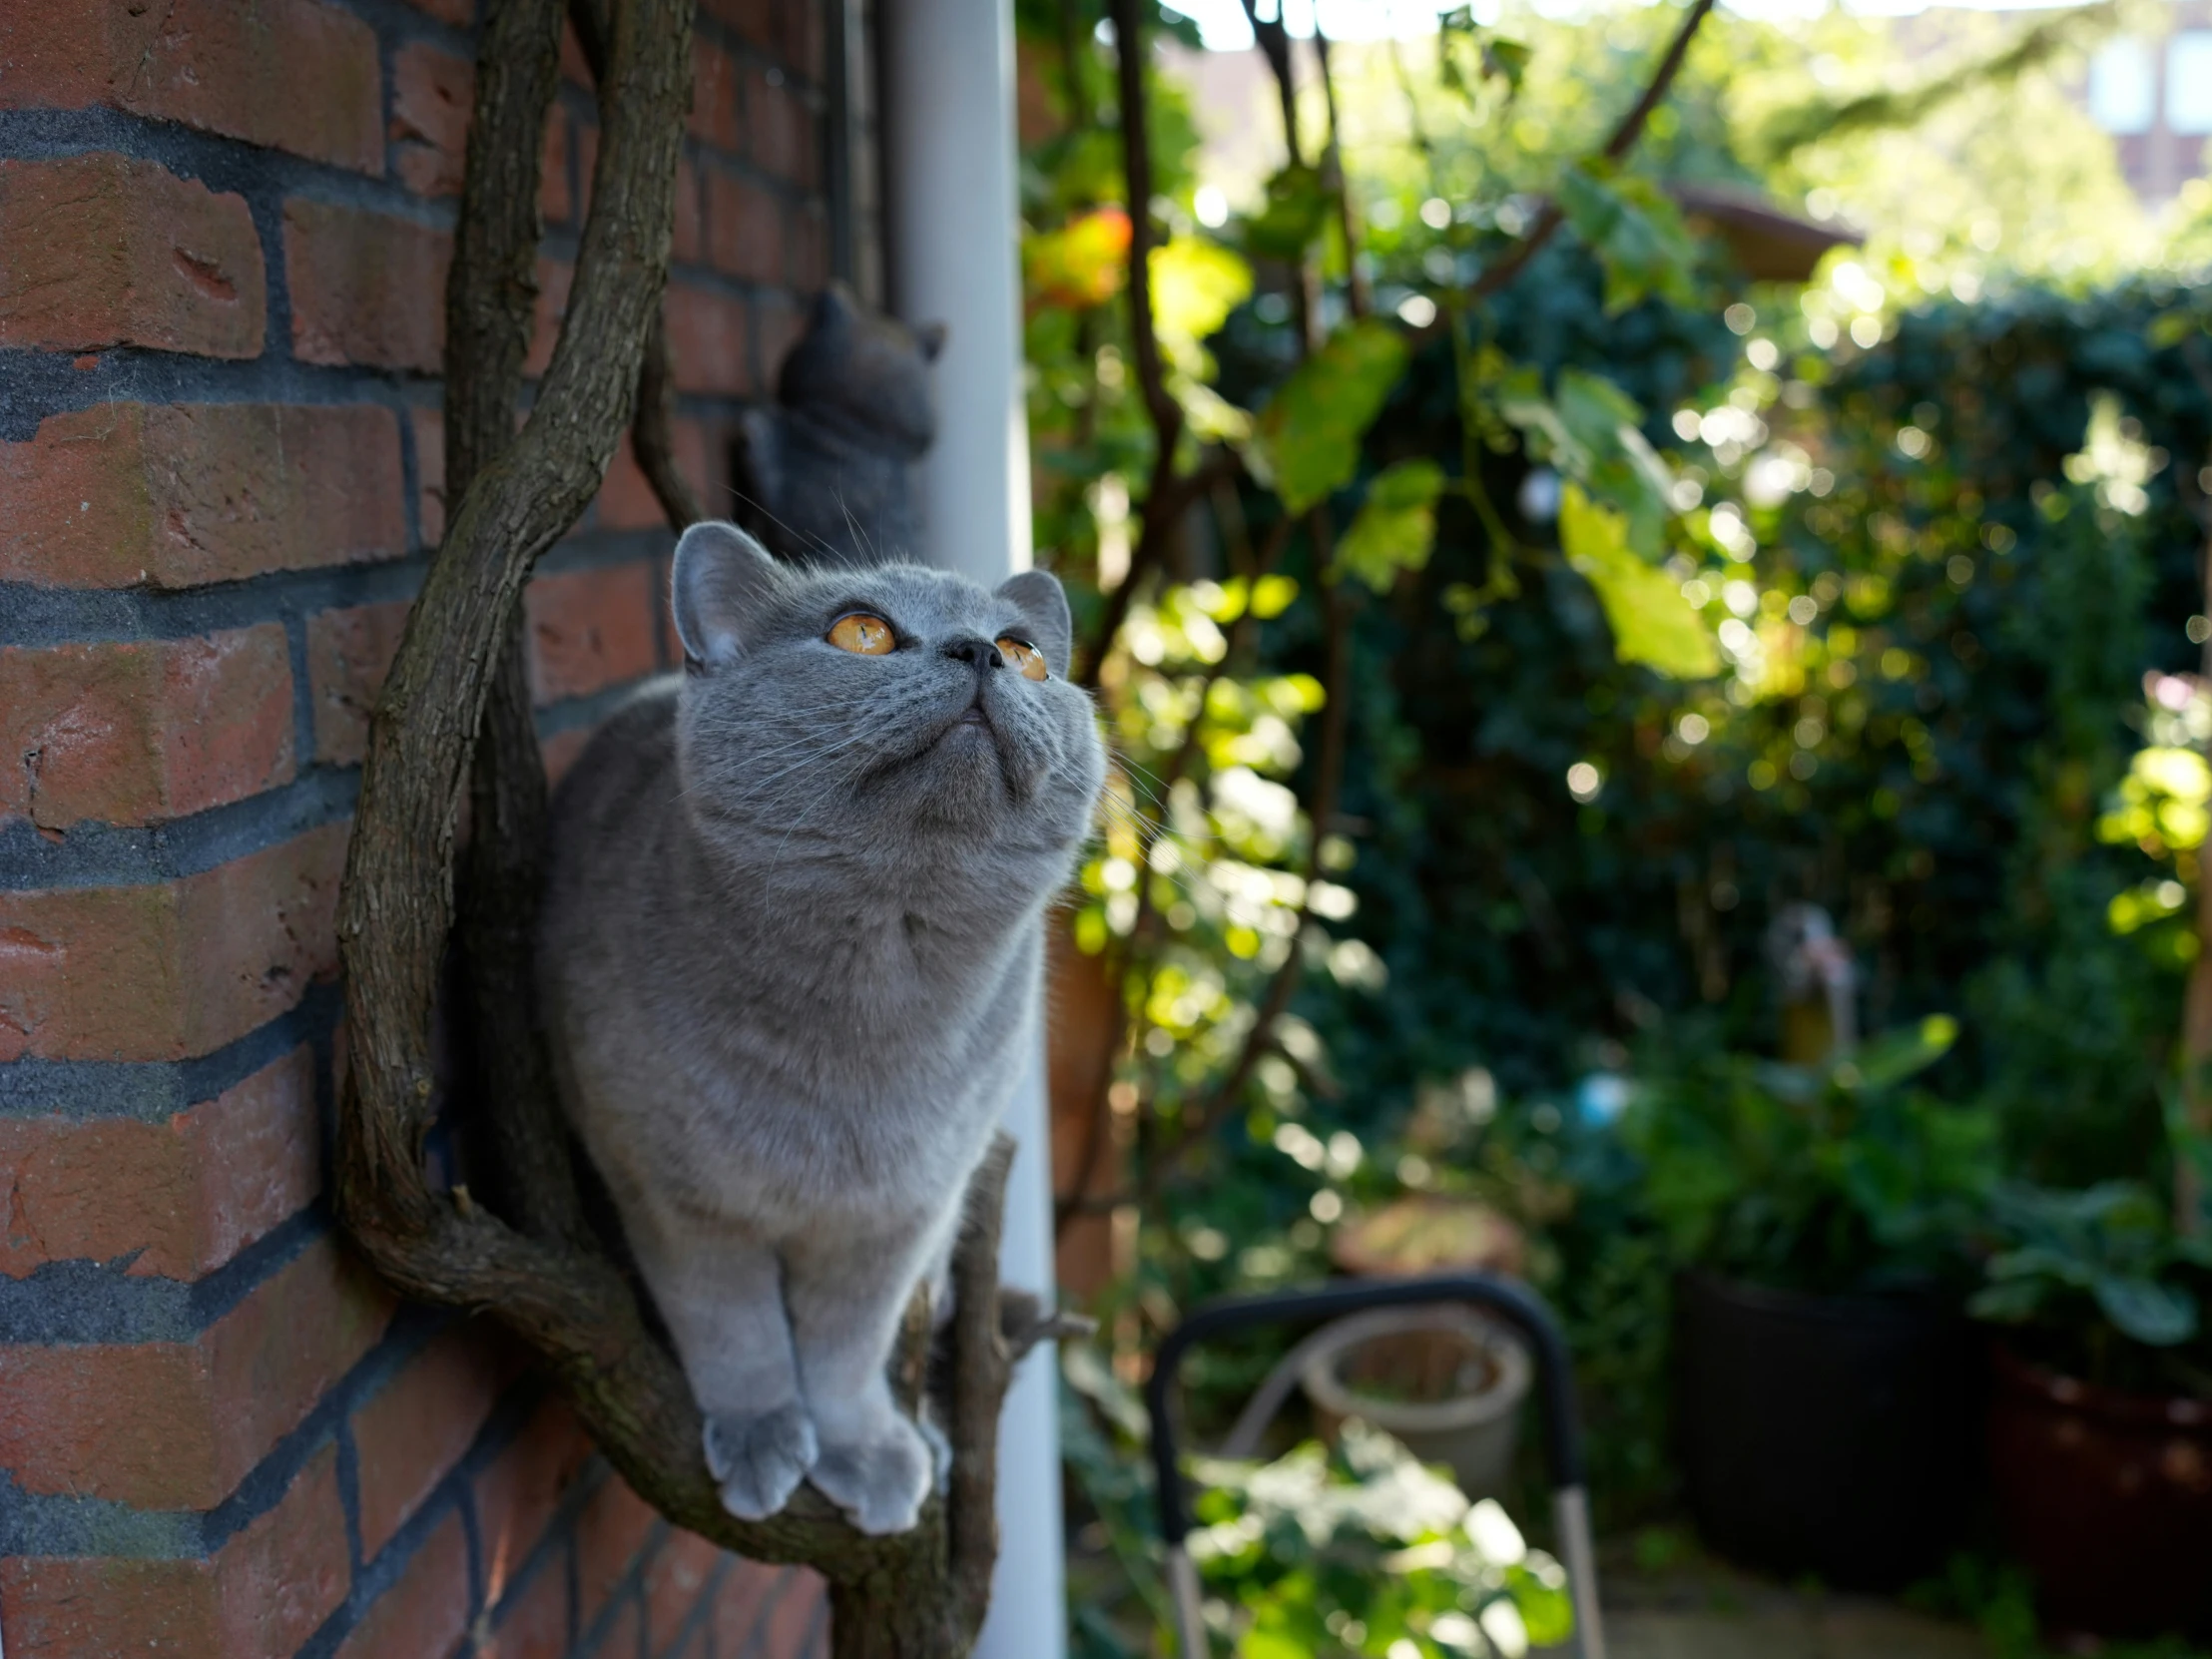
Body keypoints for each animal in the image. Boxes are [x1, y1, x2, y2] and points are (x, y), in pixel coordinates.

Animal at [537, 526, 1106, 1539]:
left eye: (1028, 650)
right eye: (862, 633)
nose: (983, 651)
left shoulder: (903, 1216)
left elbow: (846, 1349)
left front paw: (872, 1453)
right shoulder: (674, 1196)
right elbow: (736, 1330)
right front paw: (763, 1435)